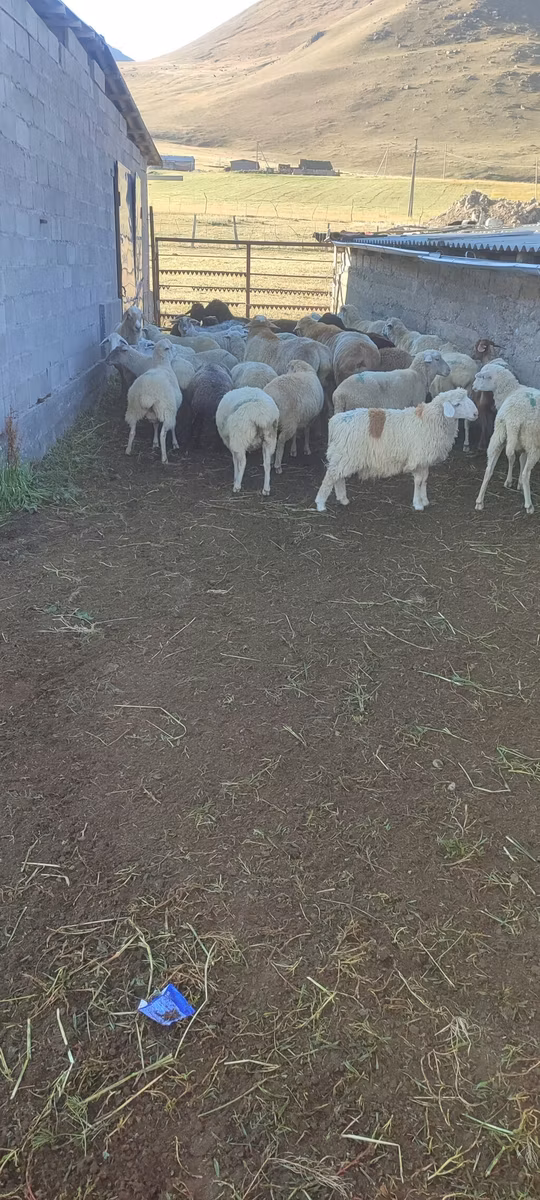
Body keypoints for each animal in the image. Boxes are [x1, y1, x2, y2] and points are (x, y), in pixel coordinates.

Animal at [315, 389, 478, 513]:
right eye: (457, 404)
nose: (476, 414)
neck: (430, 420)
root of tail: (334, 421)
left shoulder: (424, 459)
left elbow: (425, 479)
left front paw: (425, 500)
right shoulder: (417, 458)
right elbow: (418, 481)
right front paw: (418, 504)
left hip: (343, 456)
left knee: (338, 477)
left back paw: (343, 499)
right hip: (345, 454)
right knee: (330, 477)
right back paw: (320, 504)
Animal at [473, 364, 540, 514]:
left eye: (482, 377)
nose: (473, 386)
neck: (510, 391)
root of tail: (513, 418)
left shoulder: (519, 441)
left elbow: (518, 459)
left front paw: (513, 482)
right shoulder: (526, 442)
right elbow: (519, 461)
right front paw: (517, 482)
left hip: (499, 434)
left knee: (489, 469)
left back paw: (479, 501)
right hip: (532, 442)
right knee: (527, 473)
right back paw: (529, 505)